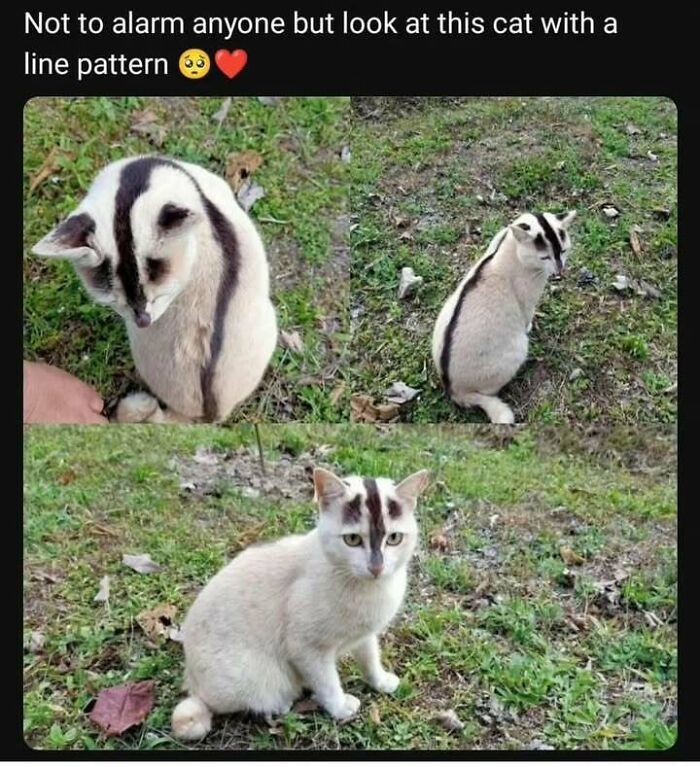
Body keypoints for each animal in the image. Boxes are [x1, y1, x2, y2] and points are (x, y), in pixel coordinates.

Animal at [172, 464, 430, 740]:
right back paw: (281, 703)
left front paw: (379, 681)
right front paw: (340, 707)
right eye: (352, 540)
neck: (369, 589)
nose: (376, 568)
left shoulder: (365, 635)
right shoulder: (306, 648)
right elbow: (327, 683)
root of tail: (193, 684)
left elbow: (370, 658)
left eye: (394, 538)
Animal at [432, 212, 576, 426]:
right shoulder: (527, 301)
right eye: (544, 257)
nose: (560, 270)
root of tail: (454, 390)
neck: (510, 244)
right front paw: (529, 326)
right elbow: (527, 317)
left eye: (564, 251)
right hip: (518, 348)